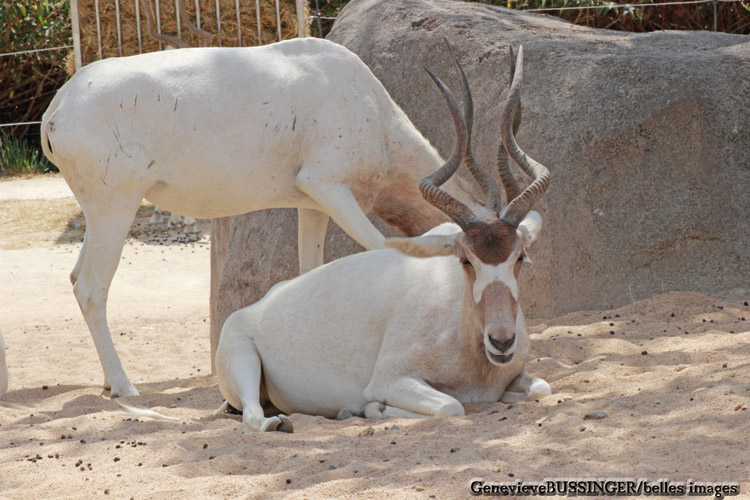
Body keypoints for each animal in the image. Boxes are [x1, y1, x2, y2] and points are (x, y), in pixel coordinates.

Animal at [44, 38, 496, 398]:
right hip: (116, 206)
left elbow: (310, 270)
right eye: (472, 260)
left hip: (101, 213)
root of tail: (58, 108)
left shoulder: (313, 204)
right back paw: (125, 387)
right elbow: (380, 247)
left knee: (75, 277)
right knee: (91, 288)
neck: (367, 105)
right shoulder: (328, 186)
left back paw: (109, 381)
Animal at [217, 45, 552, 432]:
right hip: (243, 357)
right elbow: (452, 405)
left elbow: (541, 388)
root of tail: (251, 310)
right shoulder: (390, 379)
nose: (502, 341)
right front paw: (373, 409)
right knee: (254, 416)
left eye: (520, 257)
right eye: (466, 260)